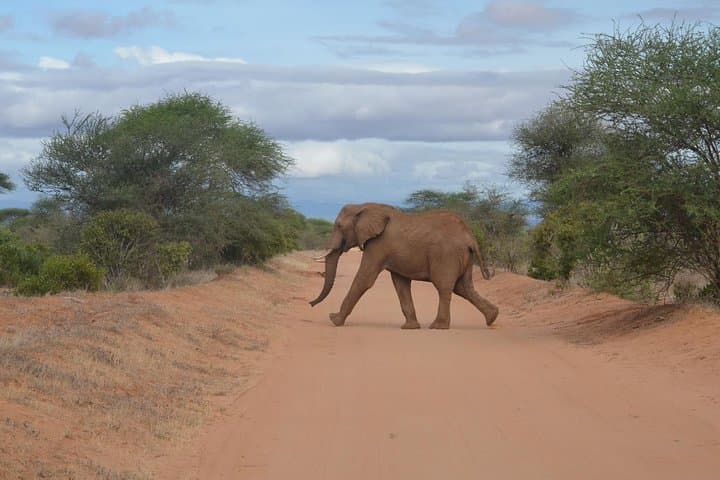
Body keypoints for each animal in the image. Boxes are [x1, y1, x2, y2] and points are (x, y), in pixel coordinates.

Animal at [309, 203, 499, 329]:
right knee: (463, 288)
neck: (364, 206)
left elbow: (364, 278)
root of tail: (469, 236)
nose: (310, 304)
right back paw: (492, 318)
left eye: (339, 226)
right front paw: (410, 327)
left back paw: (438, 326)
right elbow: (400, 284)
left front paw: (334, 320)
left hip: (446, 255)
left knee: (444, 287)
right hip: (462, 256)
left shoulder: (379, 245)